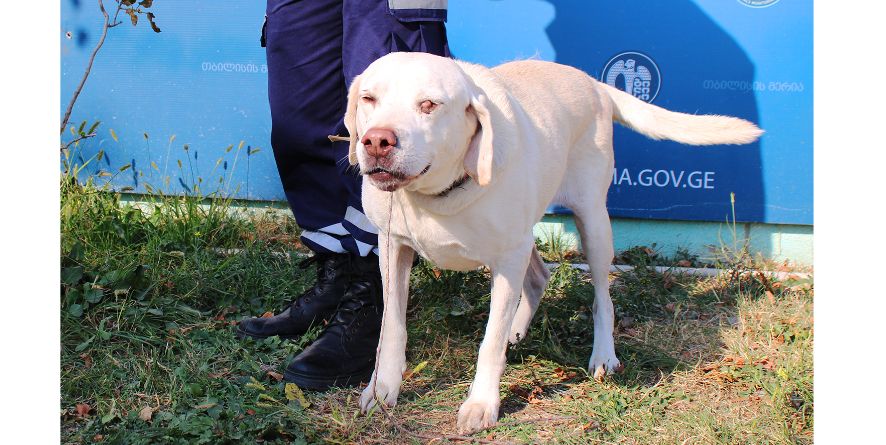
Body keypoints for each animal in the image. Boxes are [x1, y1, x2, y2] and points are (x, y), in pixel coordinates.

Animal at [344, 53, 760, 434]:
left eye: (429, 105)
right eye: (368, 98)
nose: (377, 141)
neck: (436, 194)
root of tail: (594, 84)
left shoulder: (507, 258)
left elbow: (490, 343)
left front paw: (481, 404)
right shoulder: (393, 247)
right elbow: (392, 328)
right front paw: (382, 389)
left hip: (593, 223)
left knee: (602, 298)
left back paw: (603, 354)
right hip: (528, 228)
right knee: (540, 276)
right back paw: (518, 328)